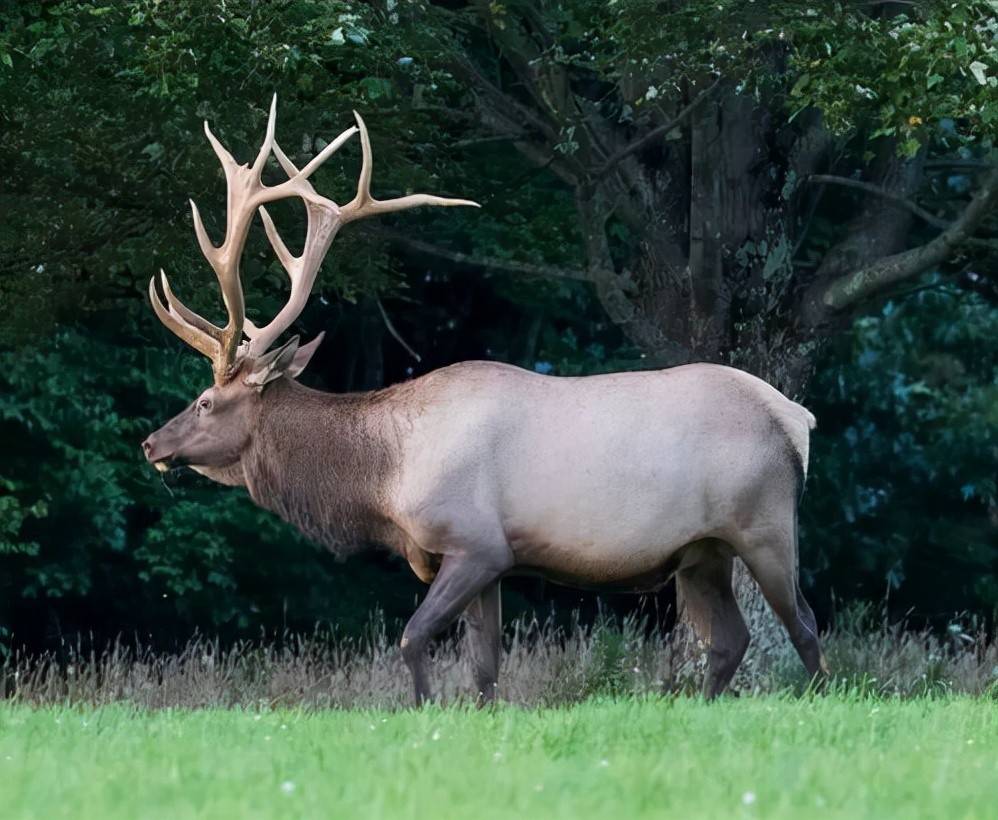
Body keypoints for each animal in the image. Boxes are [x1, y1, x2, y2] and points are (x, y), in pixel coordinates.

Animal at [141, 94, 828, 700]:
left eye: (205, 400)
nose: (150, 443)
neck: (385, 479)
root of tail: (796, 417)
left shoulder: (475, 542)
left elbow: (413, 640)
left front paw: (421, 709)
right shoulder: (493, 561)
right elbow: (484, 665)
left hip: (765, 523)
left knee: (806, 626)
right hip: (702, 551)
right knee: (731, 639)